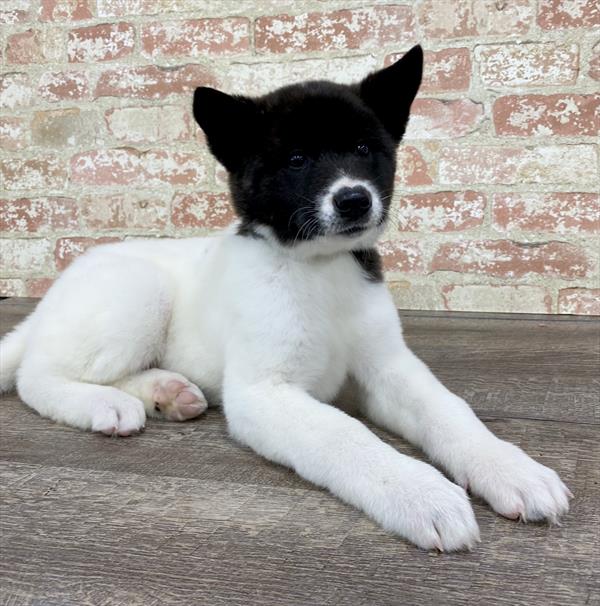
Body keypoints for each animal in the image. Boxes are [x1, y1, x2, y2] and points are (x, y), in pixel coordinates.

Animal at [1, 46, 572, 552]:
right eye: (297, 159)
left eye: (364, 150)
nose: (353, 199)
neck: (320, 271)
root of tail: (53, 296)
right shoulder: (263, 394)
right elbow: (346, 435)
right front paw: (423, 494)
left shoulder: (388, 369)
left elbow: (450, 412)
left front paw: (511, 468)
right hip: (137, 295)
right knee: (37, 375)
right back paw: (105, 404)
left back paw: (166, 391)